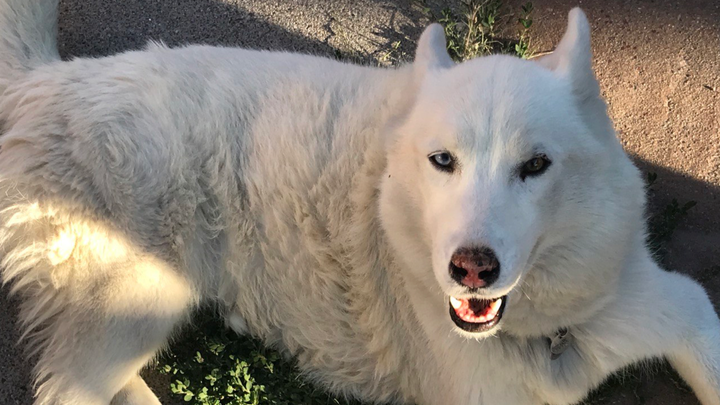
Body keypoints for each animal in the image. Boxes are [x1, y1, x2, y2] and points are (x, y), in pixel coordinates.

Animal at [1, 0, 720, 404]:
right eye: (442, 160)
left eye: (536, 166)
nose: (471, 268)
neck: (550, 334)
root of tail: (45, 79)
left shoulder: (674, 306)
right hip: (137, 299)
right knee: (62, 390)